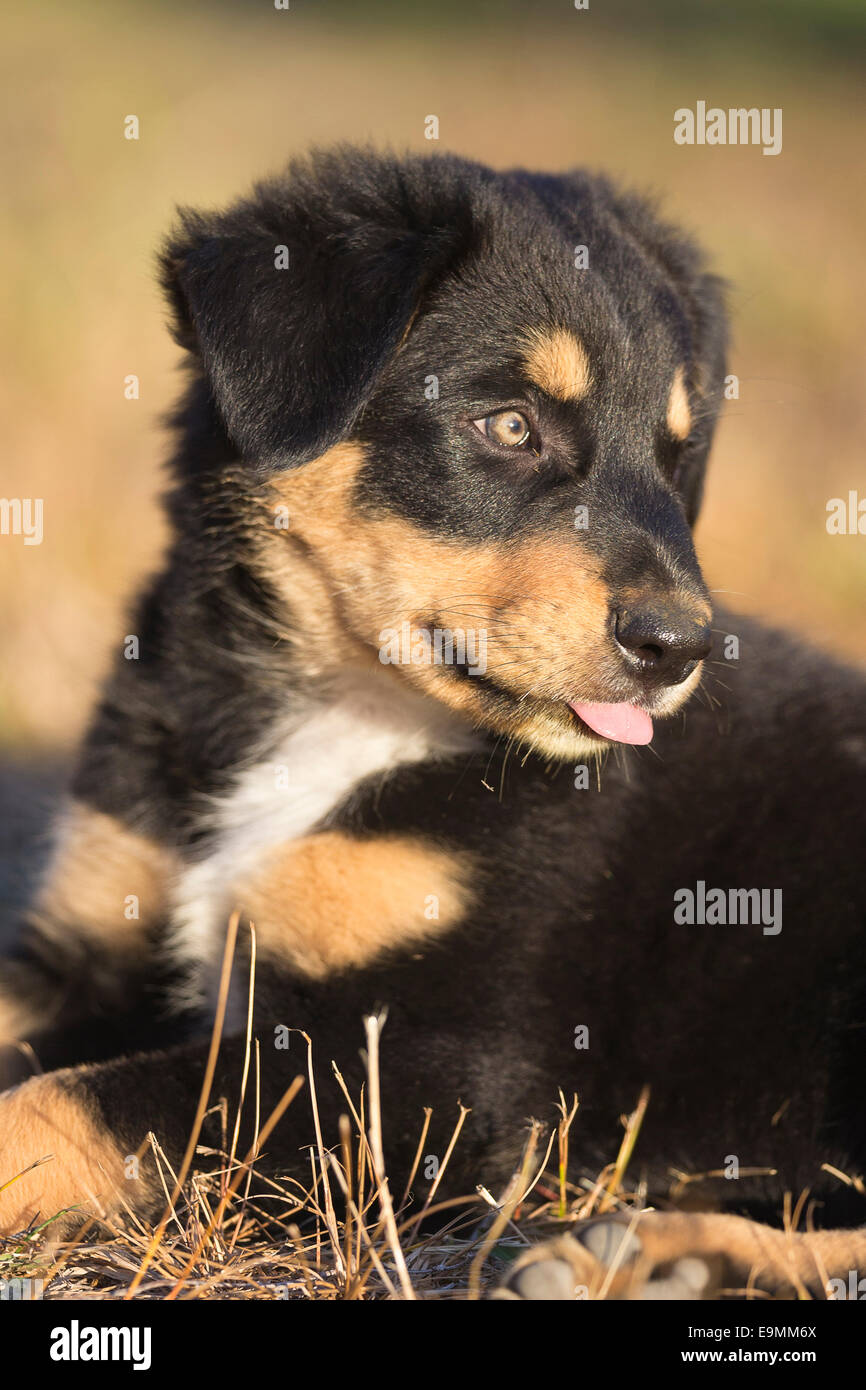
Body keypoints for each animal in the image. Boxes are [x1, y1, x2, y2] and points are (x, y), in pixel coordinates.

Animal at [1, 146, 866, 1295]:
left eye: (674, 454)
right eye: (507, 424)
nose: (678, 648)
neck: (335, 710)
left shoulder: (426, 1074)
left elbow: (63, 1103)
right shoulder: (86, 945)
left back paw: (650, 1258)